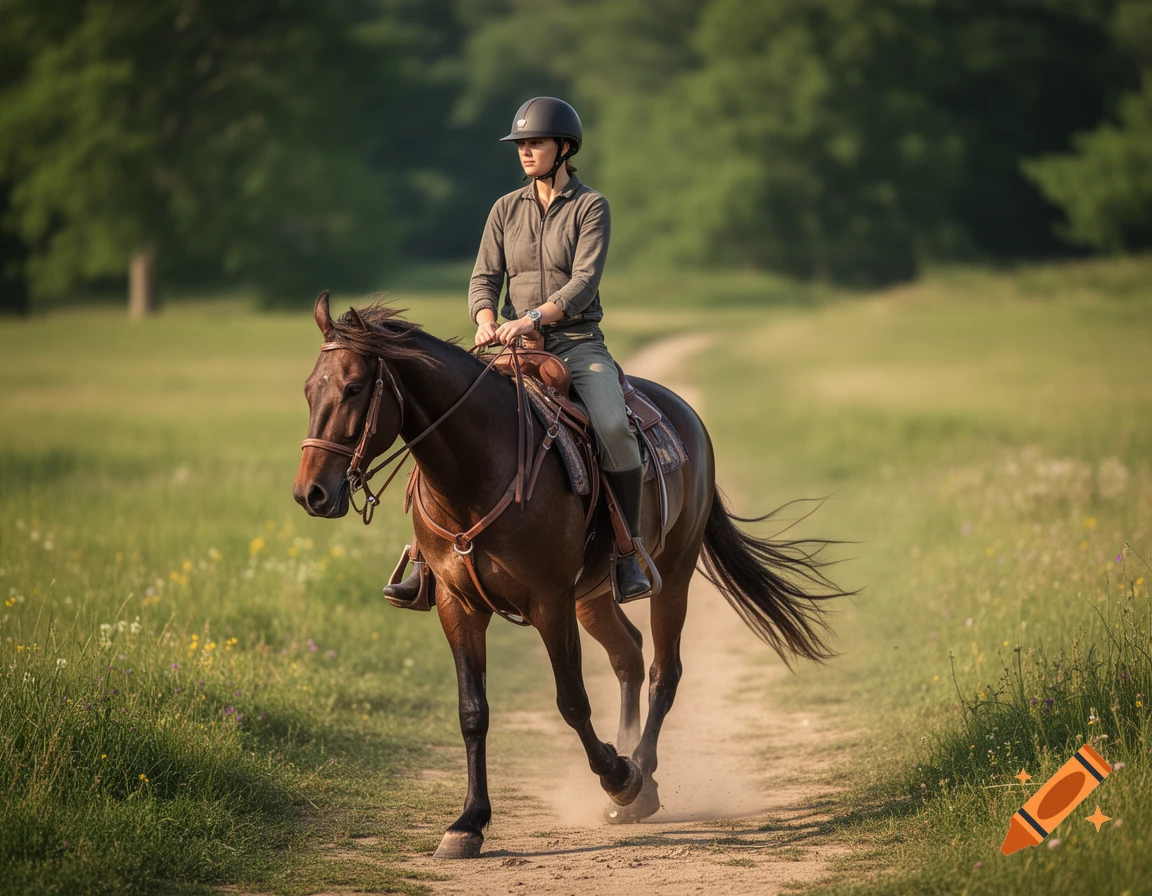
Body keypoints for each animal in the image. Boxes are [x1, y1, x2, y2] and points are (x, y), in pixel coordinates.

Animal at [293, 291, 852, 859]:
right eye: (310, 389)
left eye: (354, 387)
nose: (310, 493)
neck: (479, 471)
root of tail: (684, 412)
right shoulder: (458, 604)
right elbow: (473, 712)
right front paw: (468, 823)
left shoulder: (549, 602)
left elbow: (573, 702)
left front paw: (618, 777)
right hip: (593, 596)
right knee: (629, 656)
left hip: (672, 577)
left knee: (663, 672)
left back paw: (640, 781)